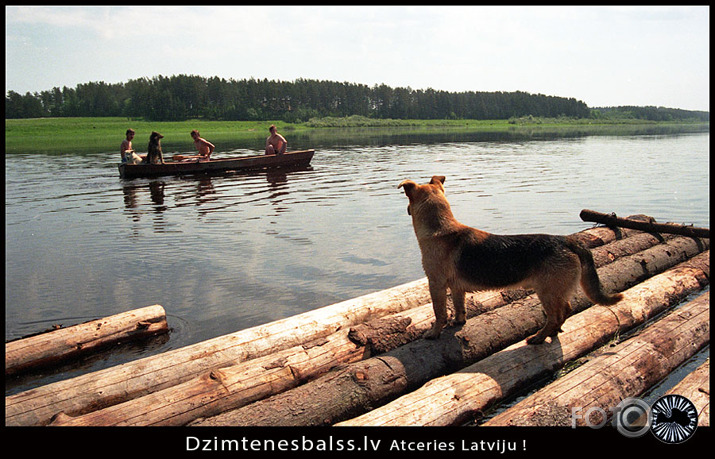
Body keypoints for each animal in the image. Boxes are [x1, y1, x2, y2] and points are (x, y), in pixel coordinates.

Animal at [400, 176, 624, 344]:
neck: (440, 228)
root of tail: (568, 241)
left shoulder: (435, 283)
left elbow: (439, 313)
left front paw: (434, 333)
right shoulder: (456, 288)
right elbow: (459, 307)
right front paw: (458, 321)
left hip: (547, 292)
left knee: (555, 317)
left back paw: (539, 337)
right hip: (556, 291)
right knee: (565, 311)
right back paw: (551, 332)